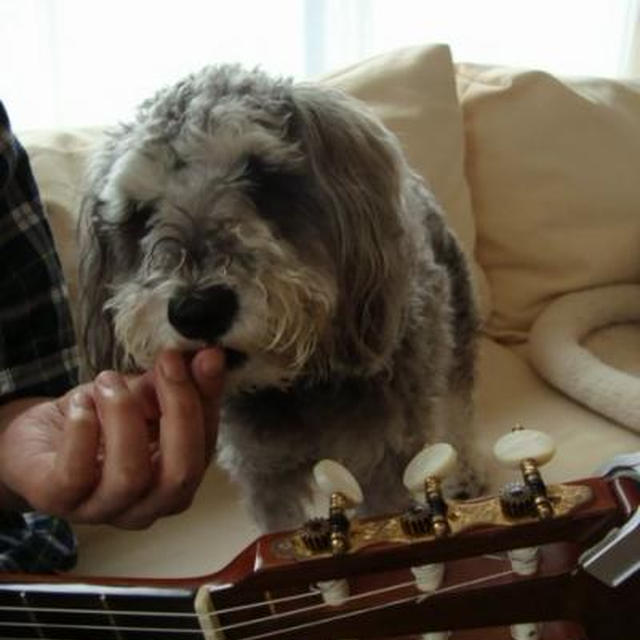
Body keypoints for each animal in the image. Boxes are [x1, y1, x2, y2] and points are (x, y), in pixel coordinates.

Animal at [76, 62, 480, 532]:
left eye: (264, 177)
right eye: (139, 212)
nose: (198, 311)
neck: (298, 384)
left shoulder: (382, 463)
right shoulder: (264, 473)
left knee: (459, 407)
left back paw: (466, 470)